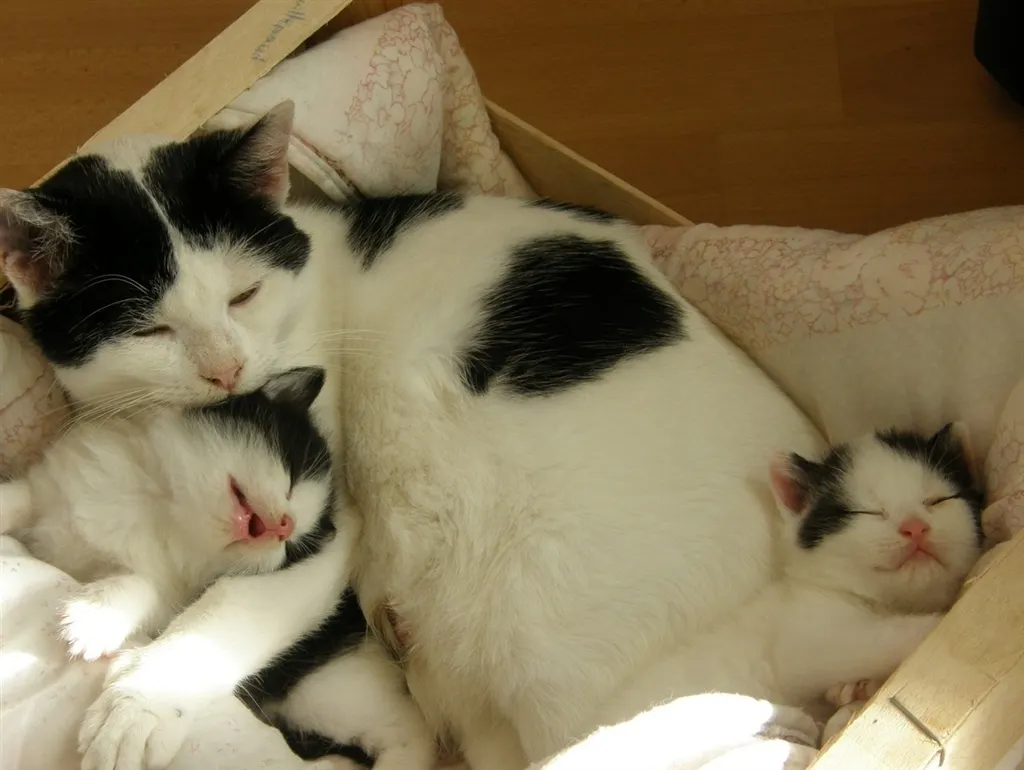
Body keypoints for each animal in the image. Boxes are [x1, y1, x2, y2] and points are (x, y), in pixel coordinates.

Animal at [0, 366, 436, 770]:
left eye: (293, 545)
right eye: (292, 473)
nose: (285, 526)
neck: (160, 504)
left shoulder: (174, 592)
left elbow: (144, 586)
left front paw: (96, 616)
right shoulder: (50, 489)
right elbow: (18, 499)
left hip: (331, 690)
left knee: (409, 731)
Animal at [593, 423, 984, 737]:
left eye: (937, 500)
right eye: (869, 512)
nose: (915, 527)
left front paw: (853, 693)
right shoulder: (804, 640)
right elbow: (879, 639)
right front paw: (943, 618)